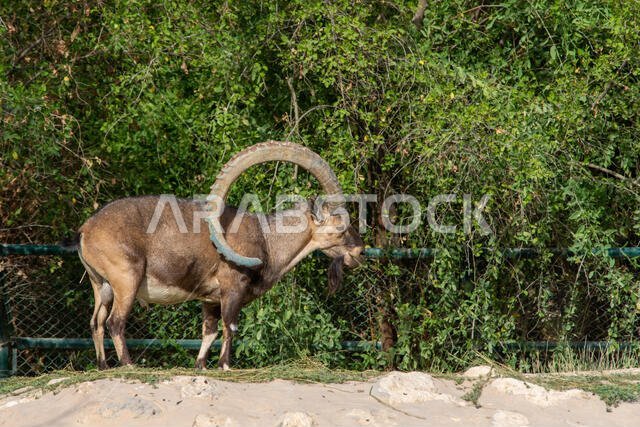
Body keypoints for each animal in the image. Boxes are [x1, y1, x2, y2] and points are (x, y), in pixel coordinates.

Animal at [76, 141, 364, 370]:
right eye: (341, 225)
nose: (359, 251)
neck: (267, 239)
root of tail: (85, 229)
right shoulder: (232, 287)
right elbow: (230, 326)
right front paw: (225, 365)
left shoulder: (210, 299)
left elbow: (210, 331)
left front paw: (201, 365)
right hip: (126, 279)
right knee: (115, 322)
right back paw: (128, 365)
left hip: (101, 285)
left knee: (95, 322)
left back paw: (103, 366)